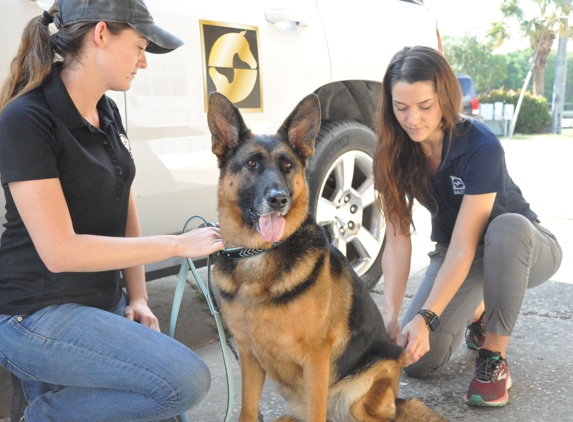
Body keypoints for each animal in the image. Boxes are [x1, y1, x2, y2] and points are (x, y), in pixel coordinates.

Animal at [207, 92, 446, 422]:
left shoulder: (316, 359)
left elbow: (315, 411)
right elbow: (247, 410)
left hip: (363, 392)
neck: (260, 253)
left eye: (287, 165)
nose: (279, 199)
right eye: (252, 163)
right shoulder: (248, 355)